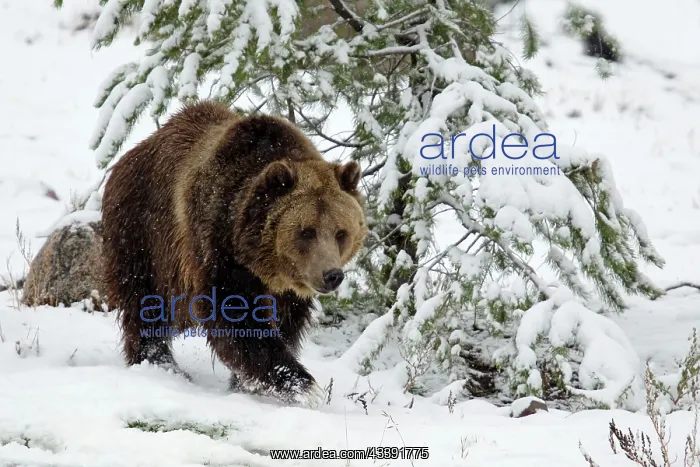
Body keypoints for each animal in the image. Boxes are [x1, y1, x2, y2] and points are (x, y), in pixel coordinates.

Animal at [101, 100, 368, 405]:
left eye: (341, 232)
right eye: (306, 231)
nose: (331, 275)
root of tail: (125, 158)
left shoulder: (287, 290)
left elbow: (285, 323)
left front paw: (249, 383)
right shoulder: (217, 247)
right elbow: (235, 316)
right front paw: (299, 384)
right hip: (142, 233)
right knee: (144, 303)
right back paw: (158, 362)